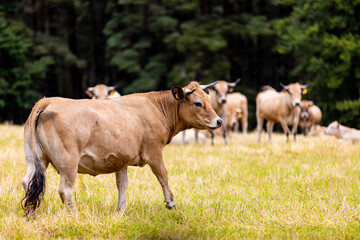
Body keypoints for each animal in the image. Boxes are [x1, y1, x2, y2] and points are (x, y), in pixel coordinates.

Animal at [21, 81, 222, 218]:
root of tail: (47, 101)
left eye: (208, 99)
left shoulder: (121, 160)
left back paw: (31, 213)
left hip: (34, 160)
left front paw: (121, 209)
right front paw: (170, 203)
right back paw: (75, 215)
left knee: (28, 182)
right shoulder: (154, 153)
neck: (156, 108)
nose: (219, 121)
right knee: (65, 190)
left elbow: (122, 185)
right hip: (68, 164)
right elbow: (163, 177)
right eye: (198, 103)